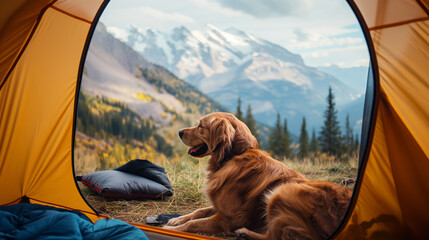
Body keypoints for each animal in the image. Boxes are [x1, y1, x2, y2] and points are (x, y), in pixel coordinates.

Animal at [164, 113, 352, 240]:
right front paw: (176, 220)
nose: (179, 131)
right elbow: (198, 211)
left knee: (273, 236)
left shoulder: (229, 218)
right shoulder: (219, 207)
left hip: (279, 193)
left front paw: (171, 229)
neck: (233, 157)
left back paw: (244, 233)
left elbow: (194, 223)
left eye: (200, 126)